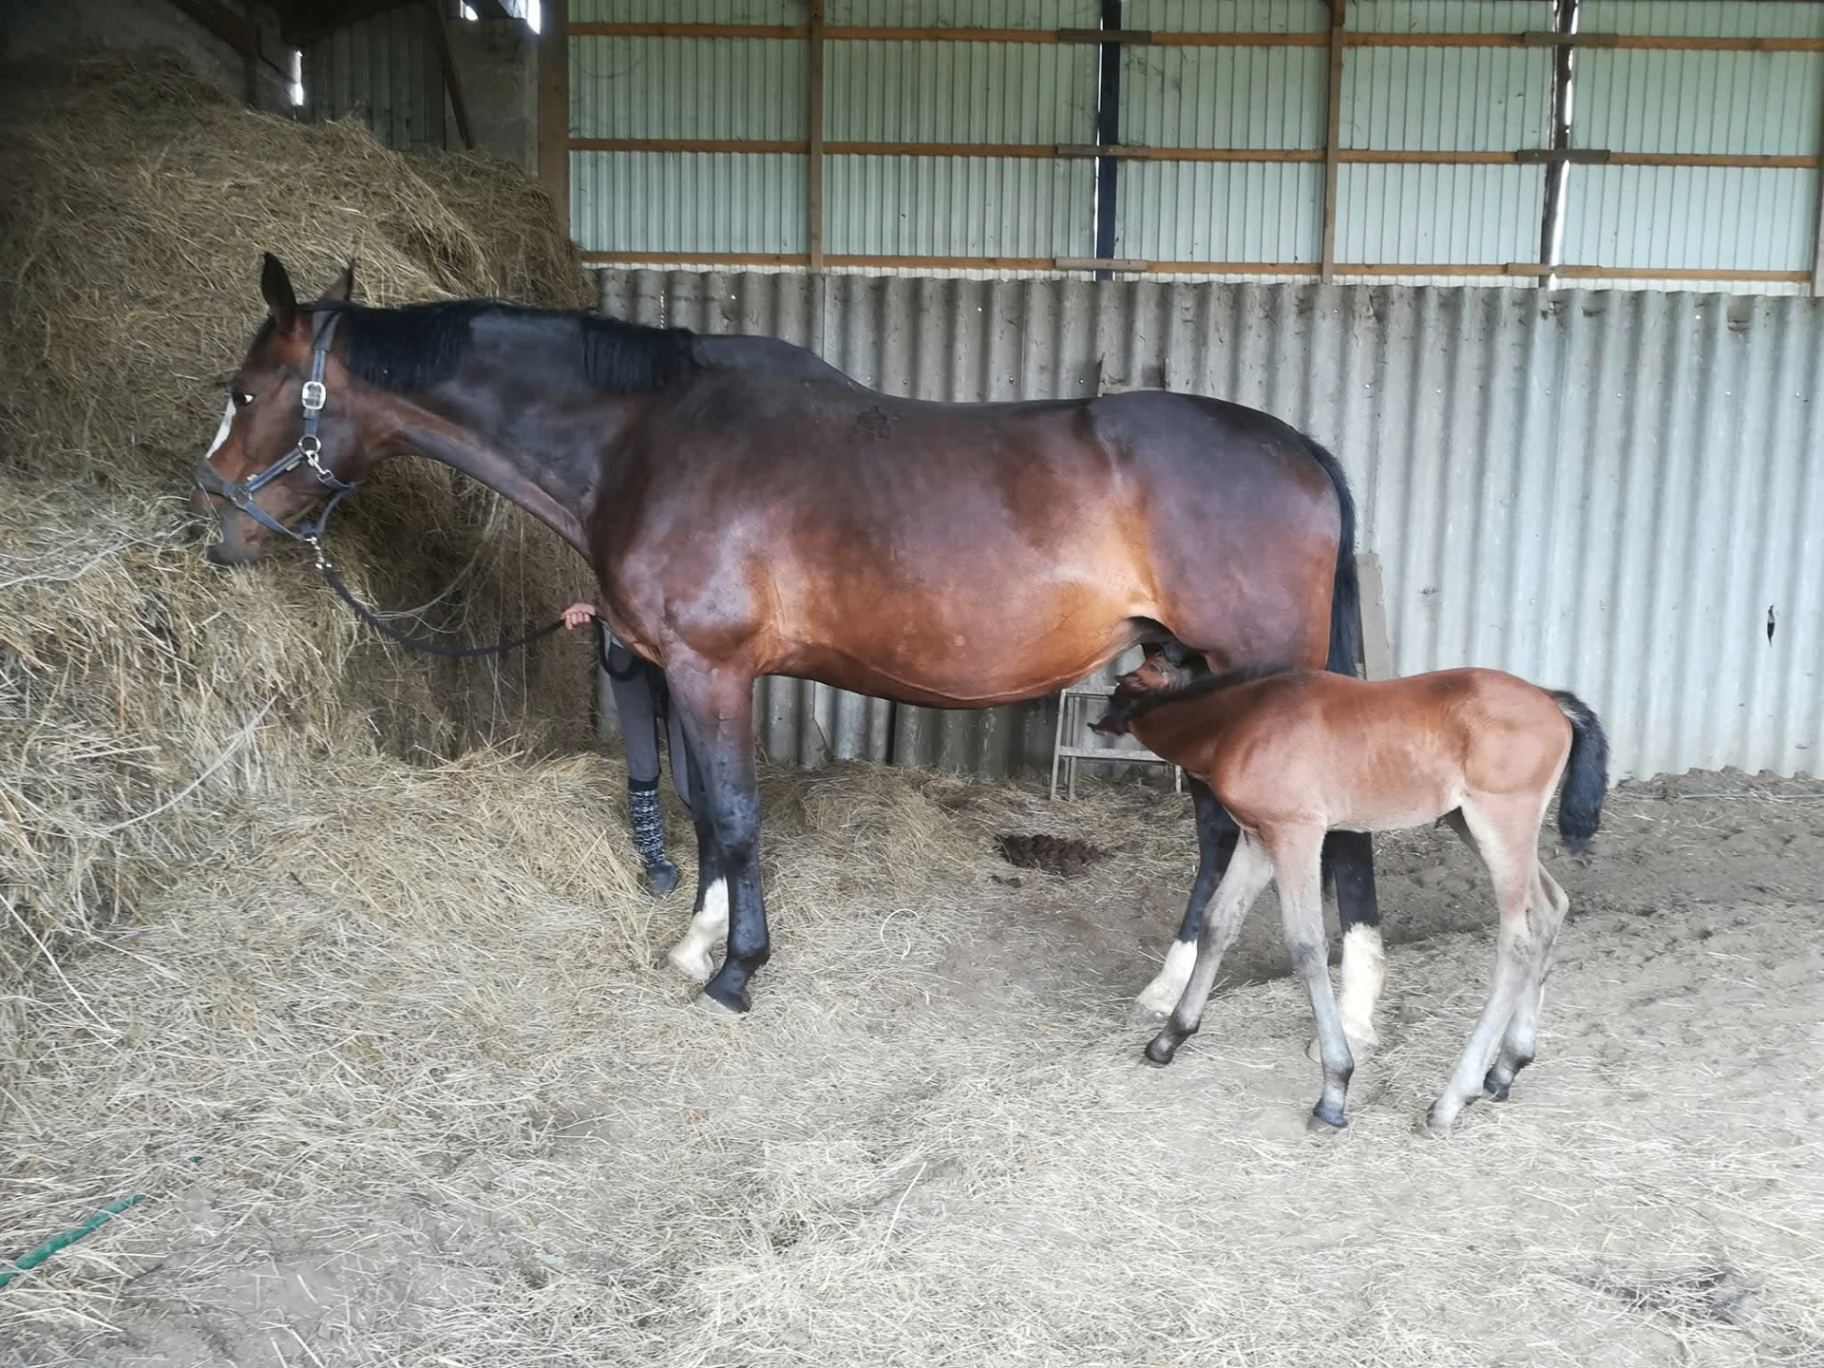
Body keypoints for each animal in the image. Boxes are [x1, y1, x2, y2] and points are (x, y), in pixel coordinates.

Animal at [189, 253, 1385, 1023]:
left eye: (245, 391)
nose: (215, 528)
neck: (648, 439)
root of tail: (1302, 452)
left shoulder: (713, 669)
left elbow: (733, 813)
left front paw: (737, 973)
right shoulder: (682, 669)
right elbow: (703, 814)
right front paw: (696, 942)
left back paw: (1325, 997)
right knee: (1221, 831)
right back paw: (1170, 982)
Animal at [1093, 656, 1607, 1135]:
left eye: (1125, 683)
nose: (1098, 721)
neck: (1242, 719)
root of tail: (1553, 701)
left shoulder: (1296, 833)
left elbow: (1306, 946)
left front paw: (1334, 1091)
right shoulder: (1257, 839)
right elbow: (1219, 921)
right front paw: (1169, 1039)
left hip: (1499, 826)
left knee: (1518, 942)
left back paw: (1450, 1102)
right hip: (1475, 827)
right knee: (1550, 908)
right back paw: (1504, 1069)